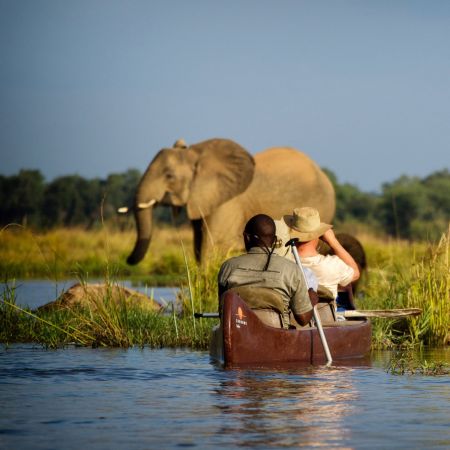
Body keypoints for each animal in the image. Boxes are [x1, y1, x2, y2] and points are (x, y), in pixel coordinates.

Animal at [125, 137, 336, 264]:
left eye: (169, 176)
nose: (127, 260)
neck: (197, 154)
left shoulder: (227, 203)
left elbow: (213, 246)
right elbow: (199, 245)